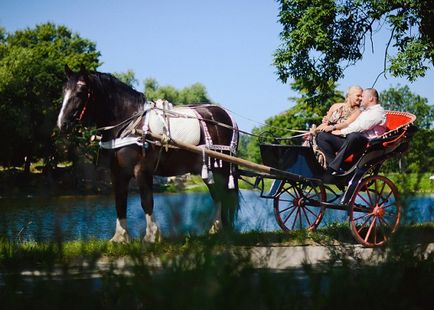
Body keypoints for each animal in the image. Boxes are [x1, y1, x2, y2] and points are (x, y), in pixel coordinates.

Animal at [56, 66, 239, 242]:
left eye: (80, 91)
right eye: (64, 90)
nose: (62, 124)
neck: (129, 124)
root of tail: (227, 117)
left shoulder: (142, 170)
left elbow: (147, 202)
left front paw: (151, 236)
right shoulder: (117, 173)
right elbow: (120, 202)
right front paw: (119, 237)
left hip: (222, 169)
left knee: (225, 195)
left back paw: (224, 229)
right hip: (209, 171)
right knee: (218, 195)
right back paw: (216, 228)